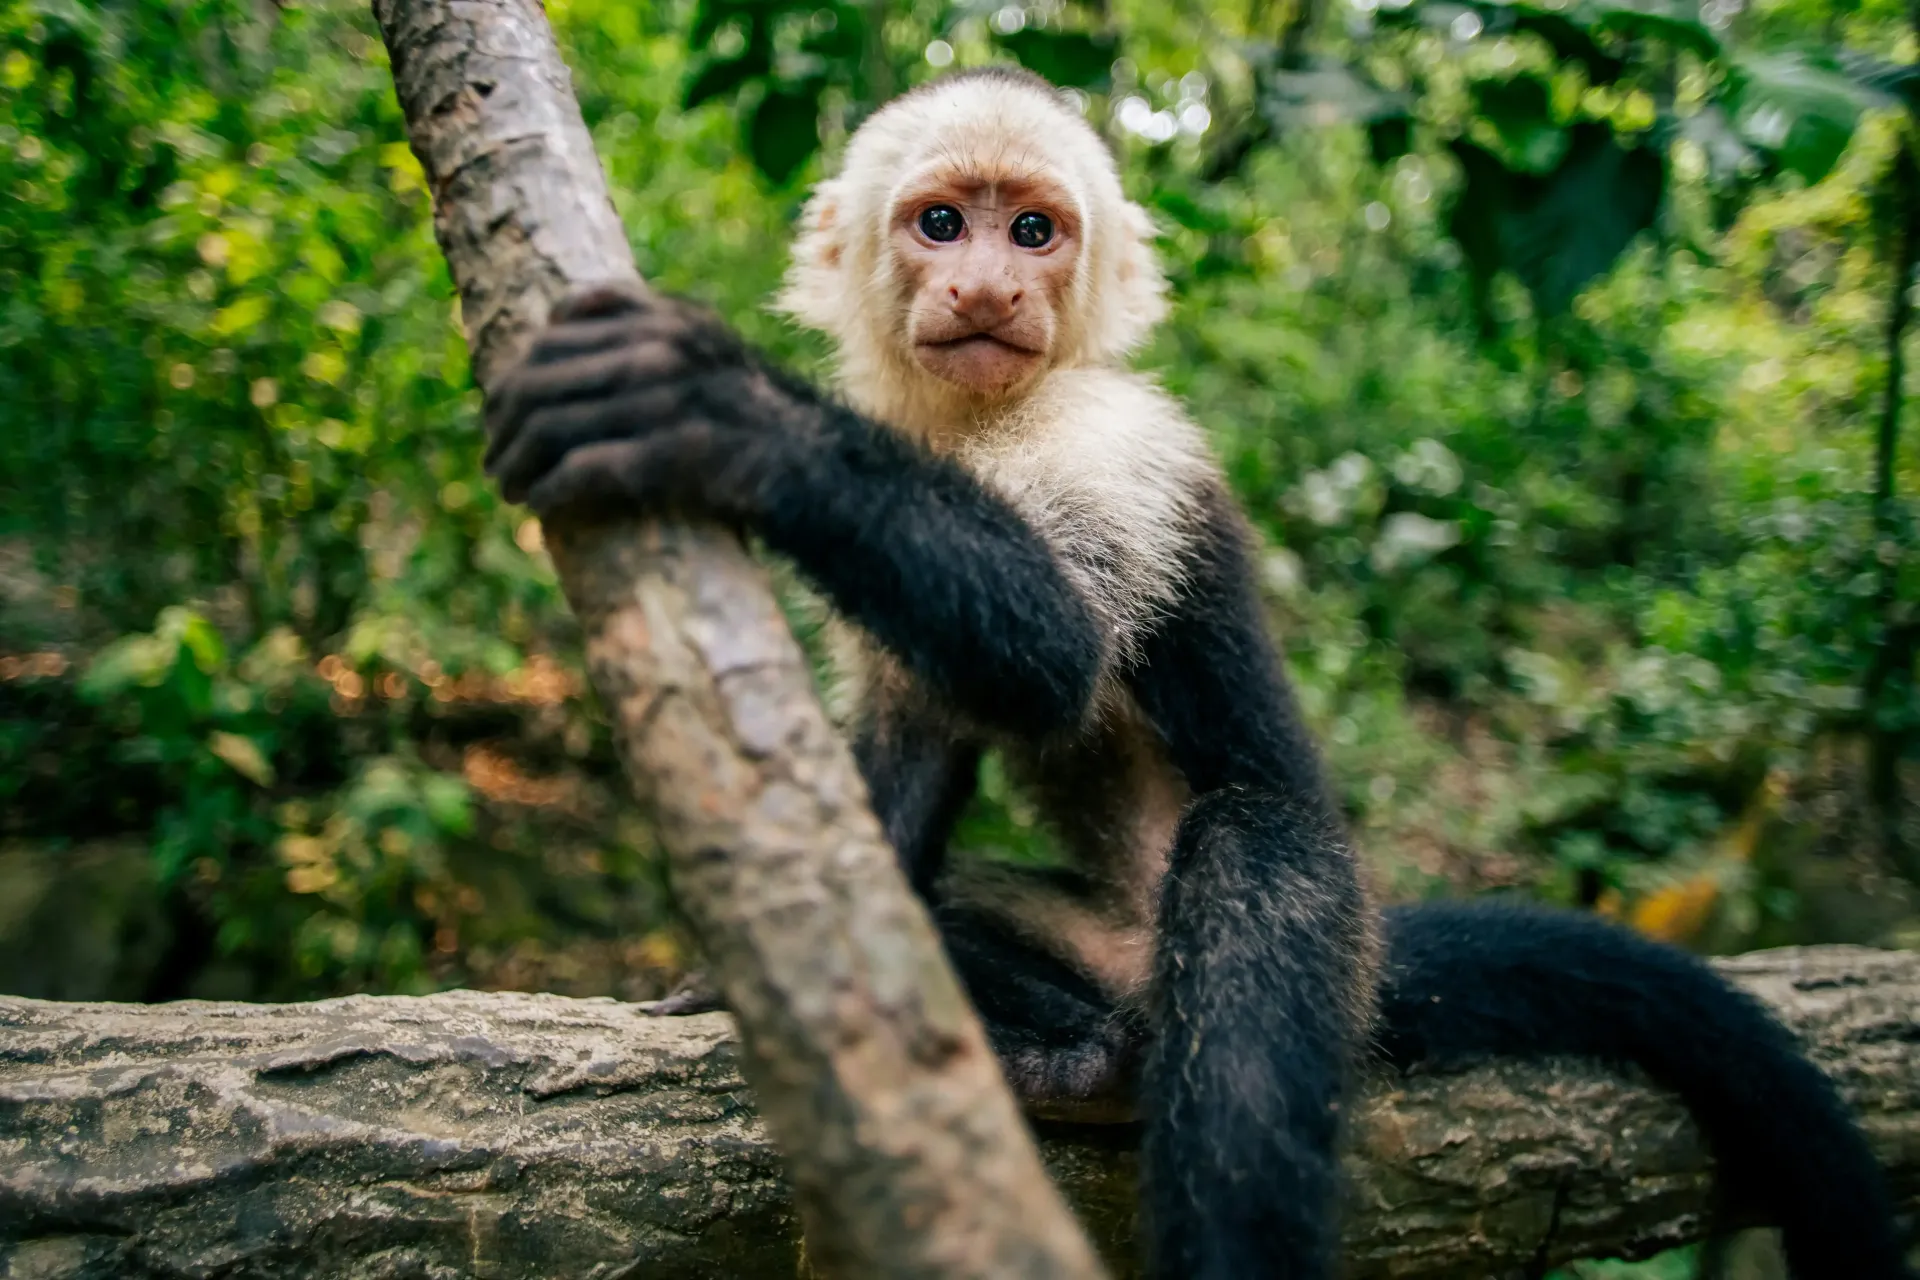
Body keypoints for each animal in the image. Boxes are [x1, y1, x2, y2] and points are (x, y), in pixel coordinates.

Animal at [482, 67, 1911, 1280]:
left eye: (1035, 232)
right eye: (942, 224)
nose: (990, 290)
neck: (979, 427)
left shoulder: (1107, 438)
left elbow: (1050, 650)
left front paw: (730, 411)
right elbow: (908, 758)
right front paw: (731, 967)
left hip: (1327, 922)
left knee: (1249, 876)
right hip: (1108, 948)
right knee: (964, 906)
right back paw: (1075, 1045)